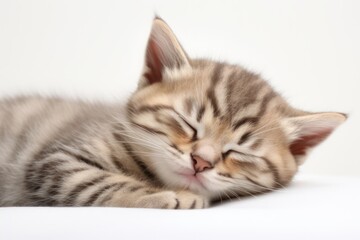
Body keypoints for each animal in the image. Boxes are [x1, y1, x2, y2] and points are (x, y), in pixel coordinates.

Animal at [0, 17, 346, 208]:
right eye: (188, 124)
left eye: (239, 151)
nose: (201, 162)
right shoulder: (56, 160)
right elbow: (100, 182)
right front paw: (165, 196)